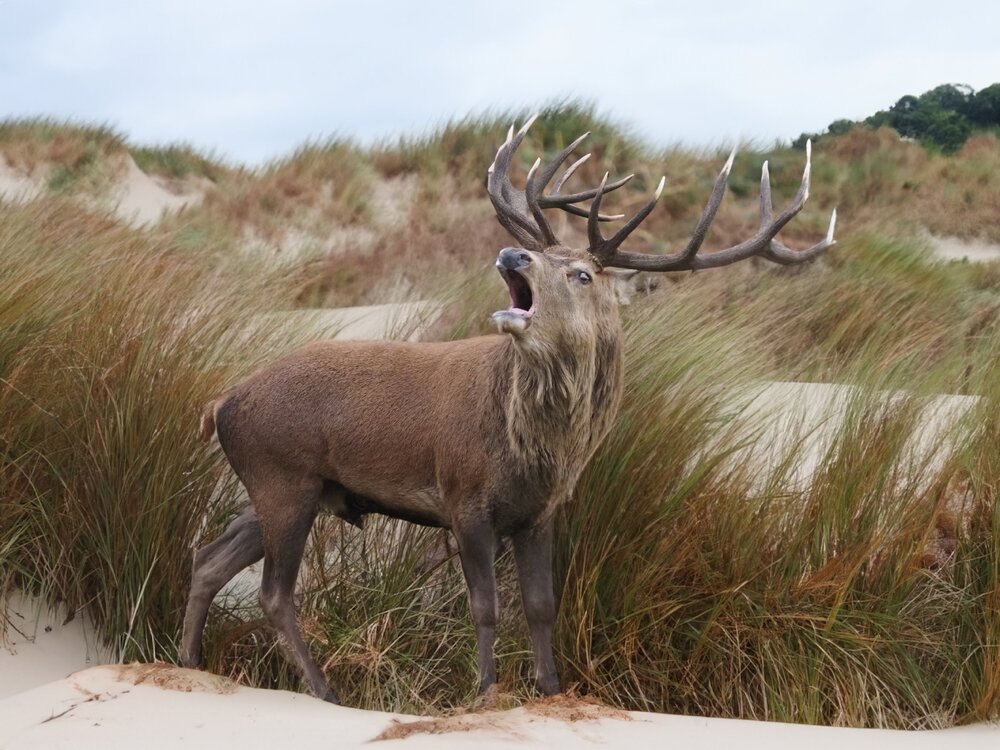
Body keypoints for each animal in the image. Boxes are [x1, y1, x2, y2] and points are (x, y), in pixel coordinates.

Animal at [179, 115, 837, 704]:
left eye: (581, 273)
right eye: (542, 256)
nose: (513, 255)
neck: (535, 449)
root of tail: (221, 403)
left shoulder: (539, 512)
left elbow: (542, 606)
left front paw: (550, 689)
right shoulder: (464, 496)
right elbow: (486, 607)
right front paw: (485, 691)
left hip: (289, 488)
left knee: (210, 559)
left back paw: (188, 662)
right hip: (283, 476)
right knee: (272, 592)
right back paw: (323, 689)